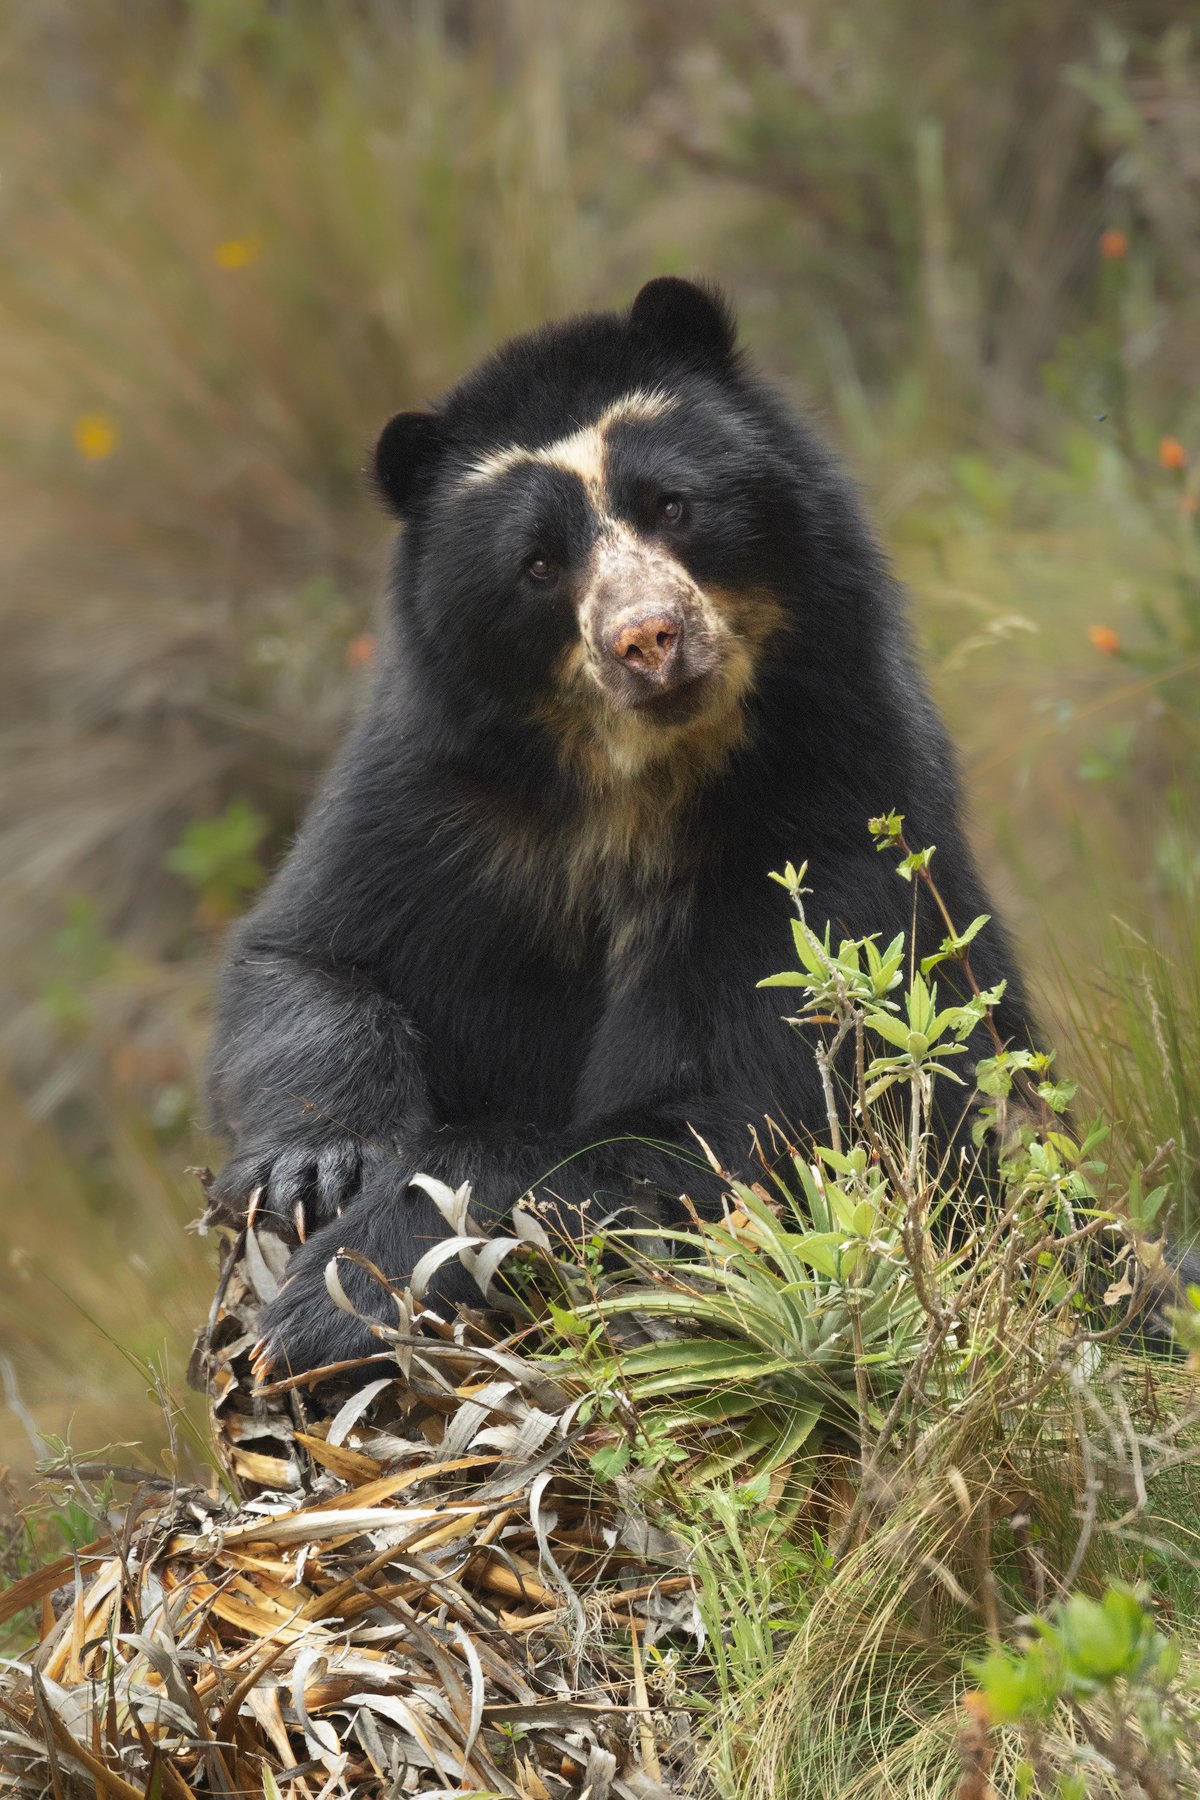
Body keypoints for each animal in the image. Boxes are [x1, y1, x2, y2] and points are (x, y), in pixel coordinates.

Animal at [206, 277, 1036, 1375]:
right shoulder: (436, 803)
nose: (648, 638)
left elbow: (722, 1118)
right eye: (537, 564)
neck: (628, 779)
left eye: (673, 505)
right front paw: (313, 1168)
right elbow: (312, 956)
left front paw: (332, 1297)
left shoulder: (818, 814)